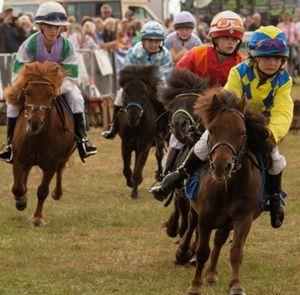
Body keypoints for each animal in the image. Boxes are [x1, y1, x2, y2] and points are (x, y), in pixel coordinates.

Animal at [4, 60, 76, 227]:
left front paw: (37, 218)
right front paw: (21, 200)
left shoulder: (52, 163)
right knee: (24, 176)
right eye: (28, 92)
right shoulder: (19, 158)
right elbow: (17, 187)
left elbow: (42, 191)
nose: (34, 123)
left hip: (63, 157)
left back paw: (57, 193)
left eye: (50, 95)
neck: (39, 136)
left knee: (60, 171)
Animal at [116, 65, 166, 199]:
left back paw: (159, 174)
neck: (135, 126)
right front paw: (130, 183)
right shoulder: (126, 145)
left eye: (144, 93)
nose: (133, 115)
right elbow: (127, 168)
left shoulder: (145, 146)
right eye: (125, 92)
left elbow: (138, 170)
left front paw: (134, 193)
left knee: (159, 155)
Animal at [184, 88, 270, 295]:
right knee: (192, 226)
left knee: (219, 240)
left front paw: (236, 285)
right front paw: (195, 285)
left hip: (227, 220)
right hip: (195, 210)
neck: (228, 186)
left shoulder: (243, 217)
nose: (221, 167)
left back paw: (211, 273)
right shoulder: (205, 215)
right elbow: (202, 250)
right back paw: (183, 253)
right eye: (212, 130)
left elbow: (235, 251)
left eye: (242, 132)